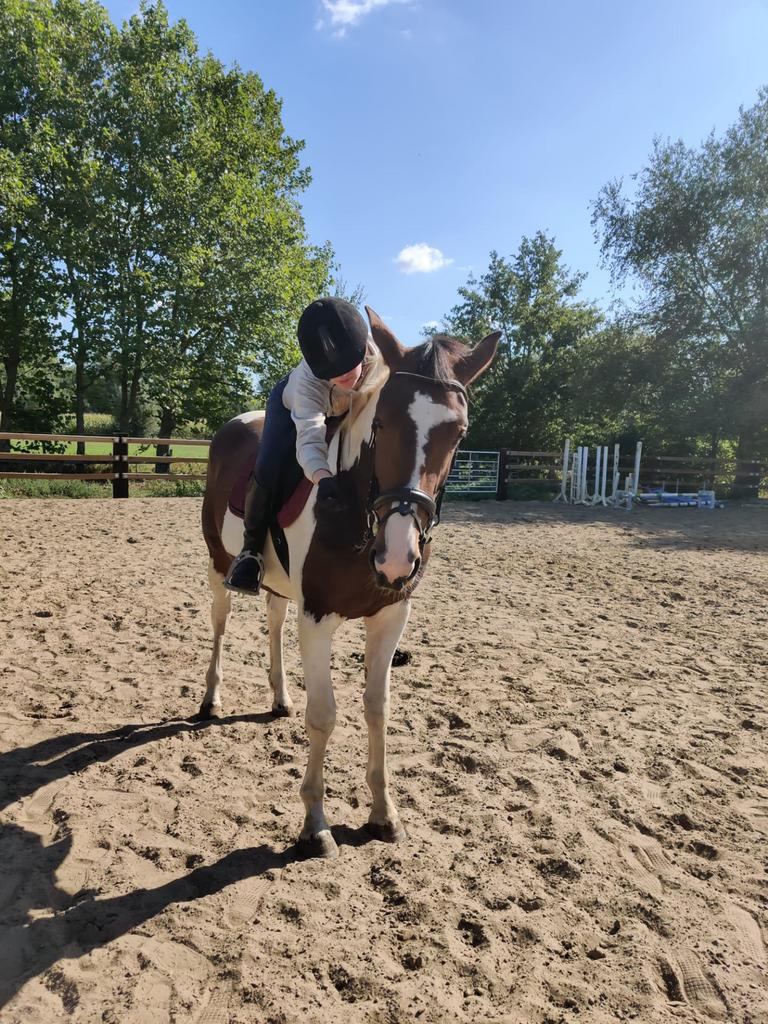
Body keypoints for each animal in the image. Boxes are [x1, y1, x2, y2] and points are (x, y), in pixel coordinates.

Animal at [200, 308, 499, 858]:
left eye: (460, 433)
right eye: (382, 423)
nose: (398, 557)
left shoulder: (389, 617)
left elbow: (377, 709)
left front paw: (384, 813)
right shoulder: (318, 617)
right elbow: (324, 715)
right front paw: (315, 824)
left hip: (281, 587)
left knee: (274, 621)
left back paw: (279, 698)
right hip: (217, 565)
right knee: (220, 624)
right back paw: (210, 700)